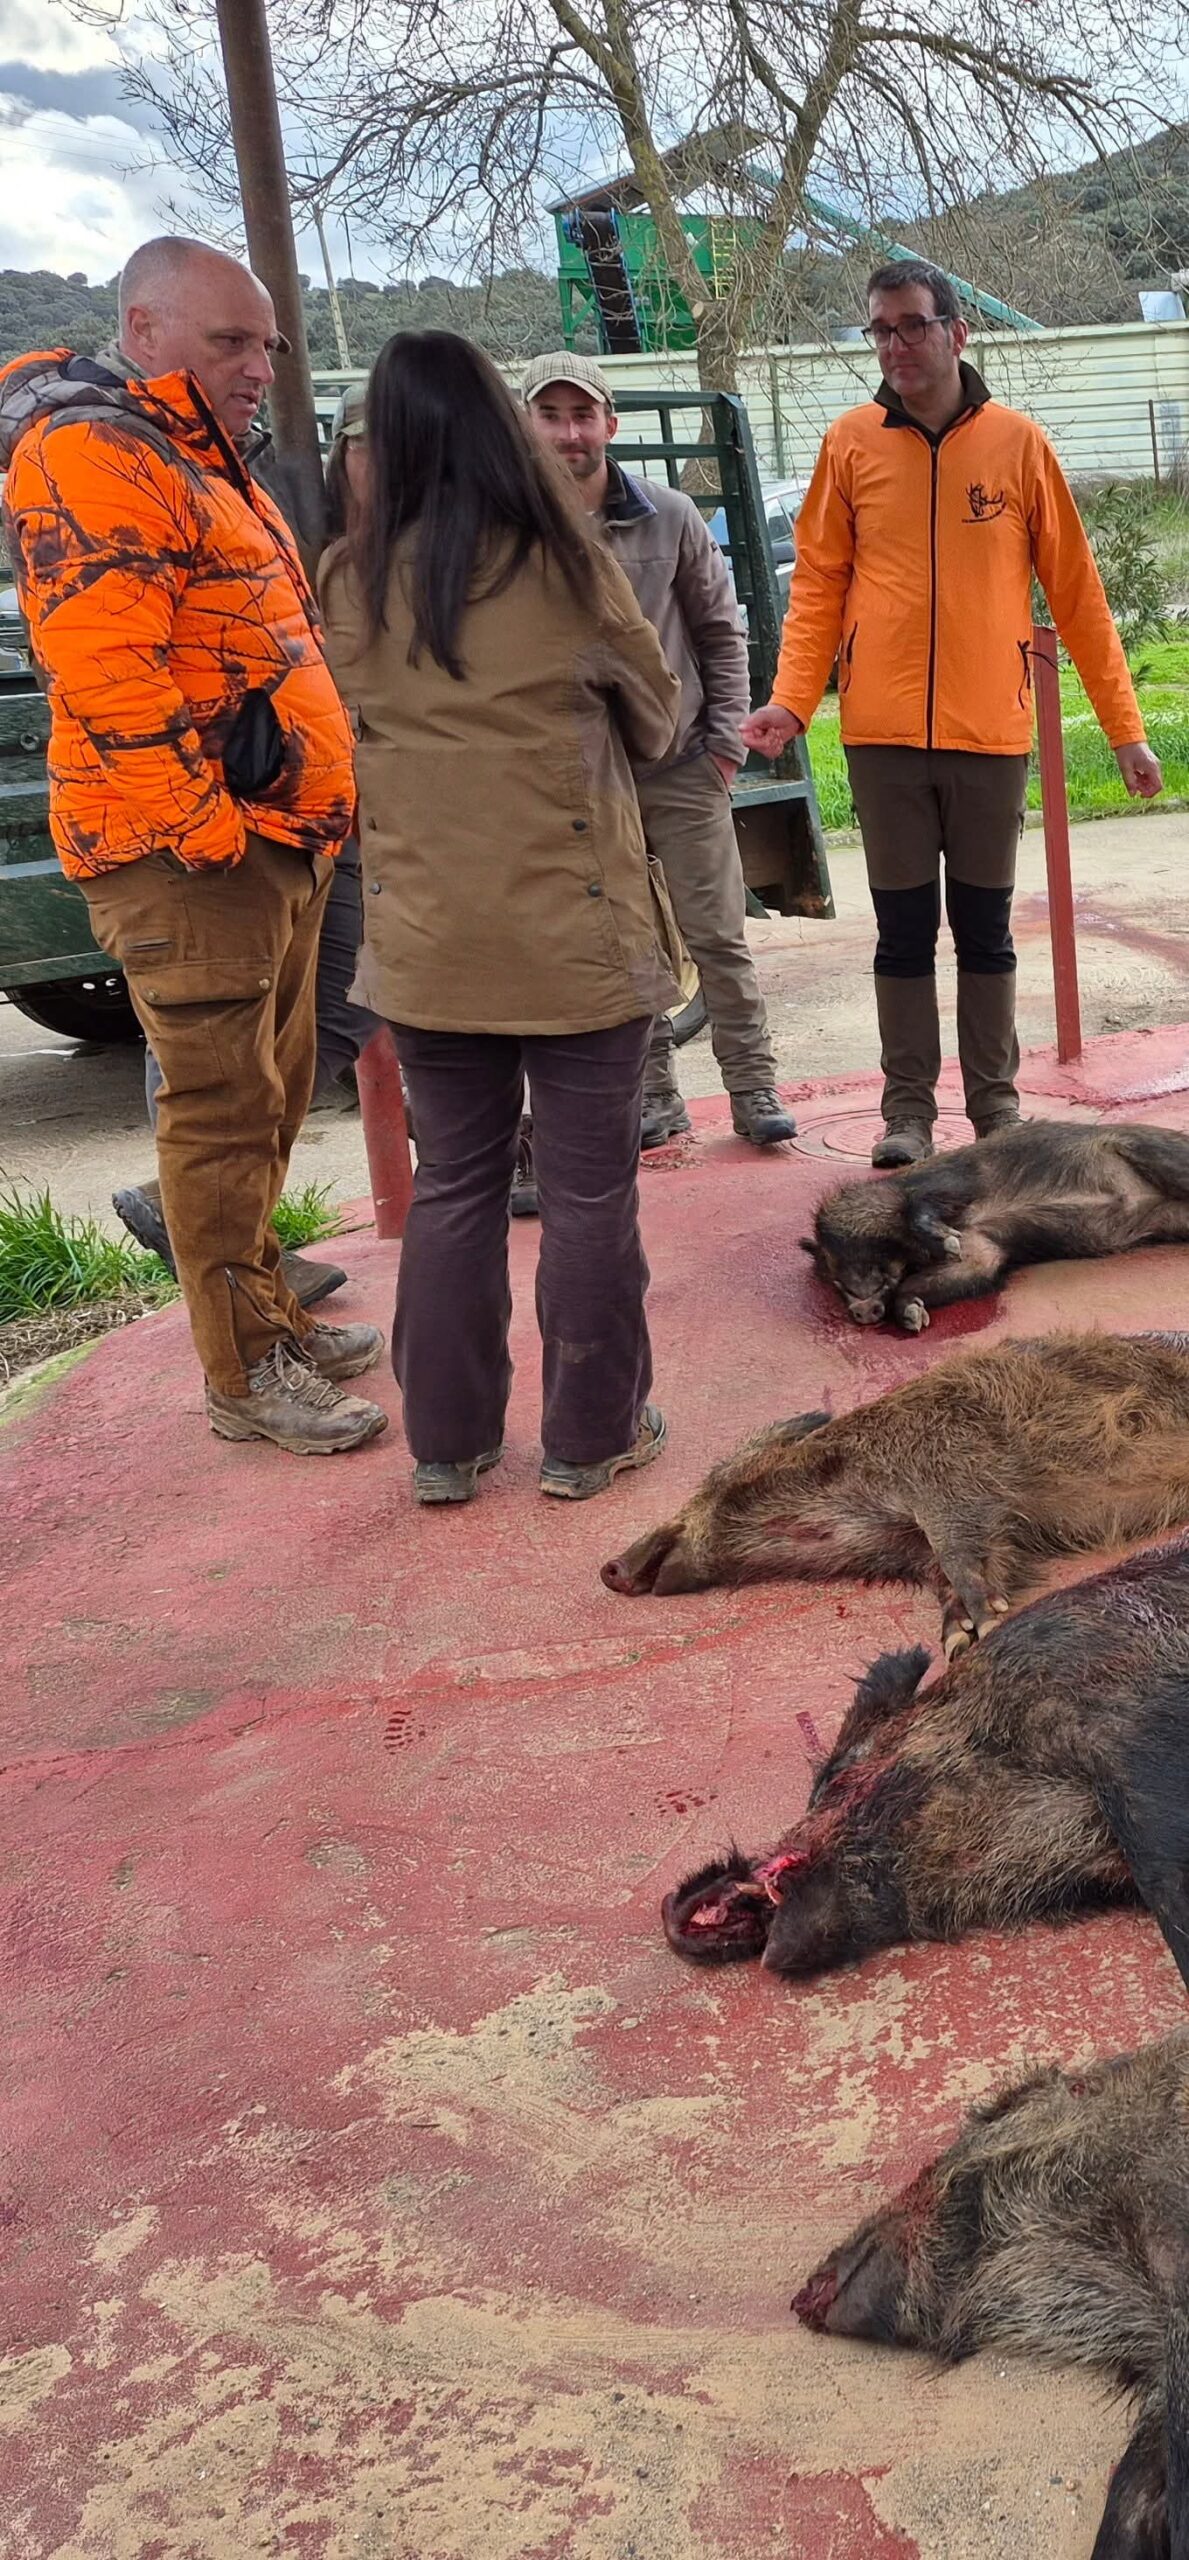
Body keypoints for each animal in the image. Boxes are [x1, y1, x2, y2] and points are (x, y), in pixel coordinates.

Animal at [602, 1330, 1189, 1654]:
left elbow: (961, 1553)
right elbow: (961, 1574)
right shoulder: (931, 1545)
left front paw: (990, 1620)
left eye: (713, 1479)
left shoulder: (946, 1479)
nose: (608, 1567)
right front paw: (957, 1639)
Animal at [802, 1119, 1189, 1333]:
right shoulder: (984, 1251)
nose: (861, 1310)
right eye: (833, 1281)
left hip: (1155, 1153)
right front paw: (914, 1320)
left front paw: (948, 1243)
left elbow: (922, 1208)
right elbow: (940, 1279)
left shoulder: (955, 1182)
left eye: (843, 1255)